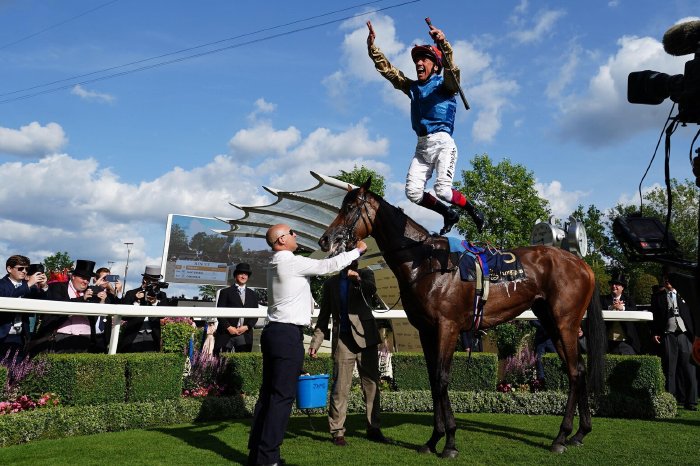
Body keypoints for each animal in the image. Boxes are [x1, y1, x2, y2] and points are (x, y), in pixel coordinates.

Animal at [318, 178, 608, 456]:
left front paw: (449, 443)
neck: (424, 262)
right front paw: (433, 439)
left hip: (565, 323)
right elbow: (433, 380)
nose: (325, 240)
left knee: (574, 372)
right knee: (579, 369)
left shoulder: (448, 327)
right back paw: (579, 433)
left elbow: (442, 378)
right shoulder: (426, 331)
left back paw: (561, 436)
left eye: (349, 207)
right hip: (551, 323)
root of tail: (582, 264)